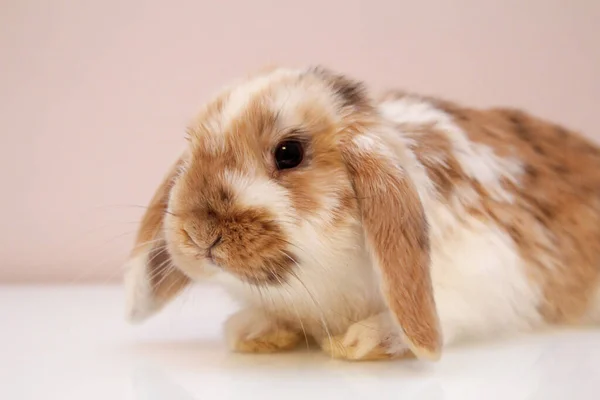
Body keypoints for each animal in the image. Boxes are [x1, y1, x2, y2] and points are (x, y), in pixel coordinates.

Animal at [122, 66, 600, 362]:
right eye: (191, 149)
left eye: (289, 153)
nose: (199, 231)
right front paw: (253, 332)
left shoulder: (485, 274)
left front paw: (361, 342)